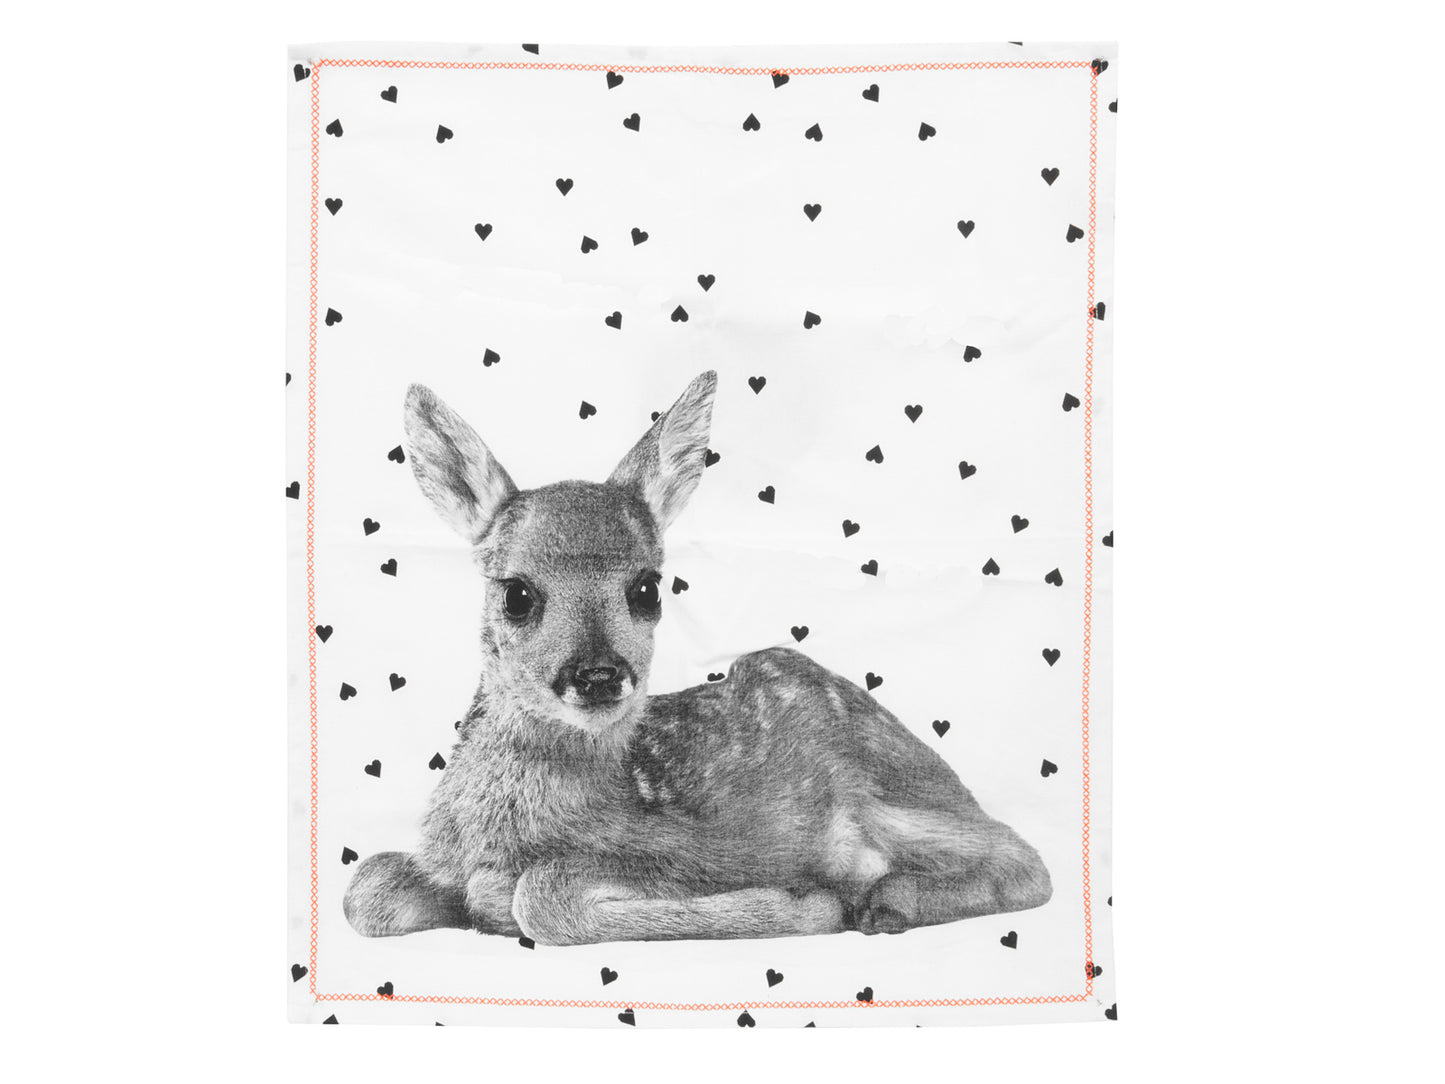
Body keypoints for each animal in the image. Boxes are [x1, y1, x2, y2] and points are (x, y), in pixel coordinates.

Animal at [342, 370, 1052, 945]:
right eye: (517, 593)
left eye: (647, 588)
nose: (598, 675)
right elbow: (365, 888)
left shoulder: (693, 849)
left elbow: (540, 897)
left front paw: (805, 906)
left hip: (876, 792)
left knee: (1025, 858)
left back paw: (885, 903)